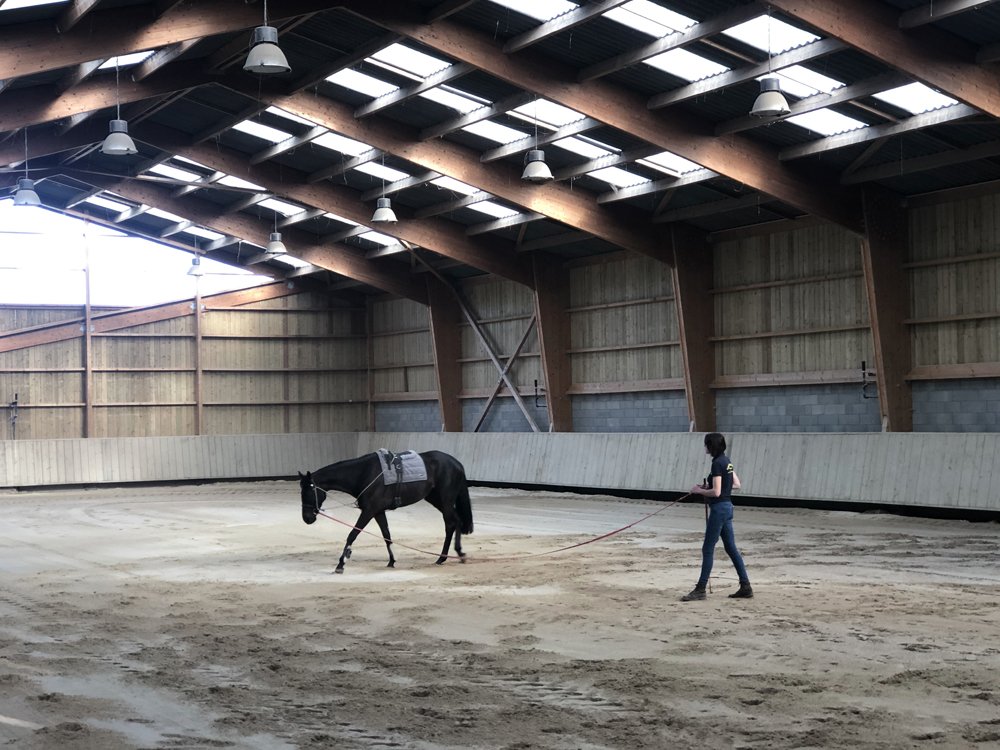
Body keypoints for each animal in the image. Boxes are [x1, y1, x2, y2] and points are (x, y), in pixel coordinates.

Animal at [299, 450, 474, 574]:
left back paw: (447, 556)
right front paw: (392, 561)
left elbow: (352, 534)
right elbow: (387, 536)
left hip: (445, 500)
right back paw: (452, 555)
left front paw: (341, 563)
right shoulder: (378, 512)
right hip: (436, 500)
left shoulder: (368, 511)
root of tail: (457, 463)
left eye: (308, 491)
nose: (307, 518)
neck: (364, 473)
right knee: (455, 521)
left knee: (451, 523)